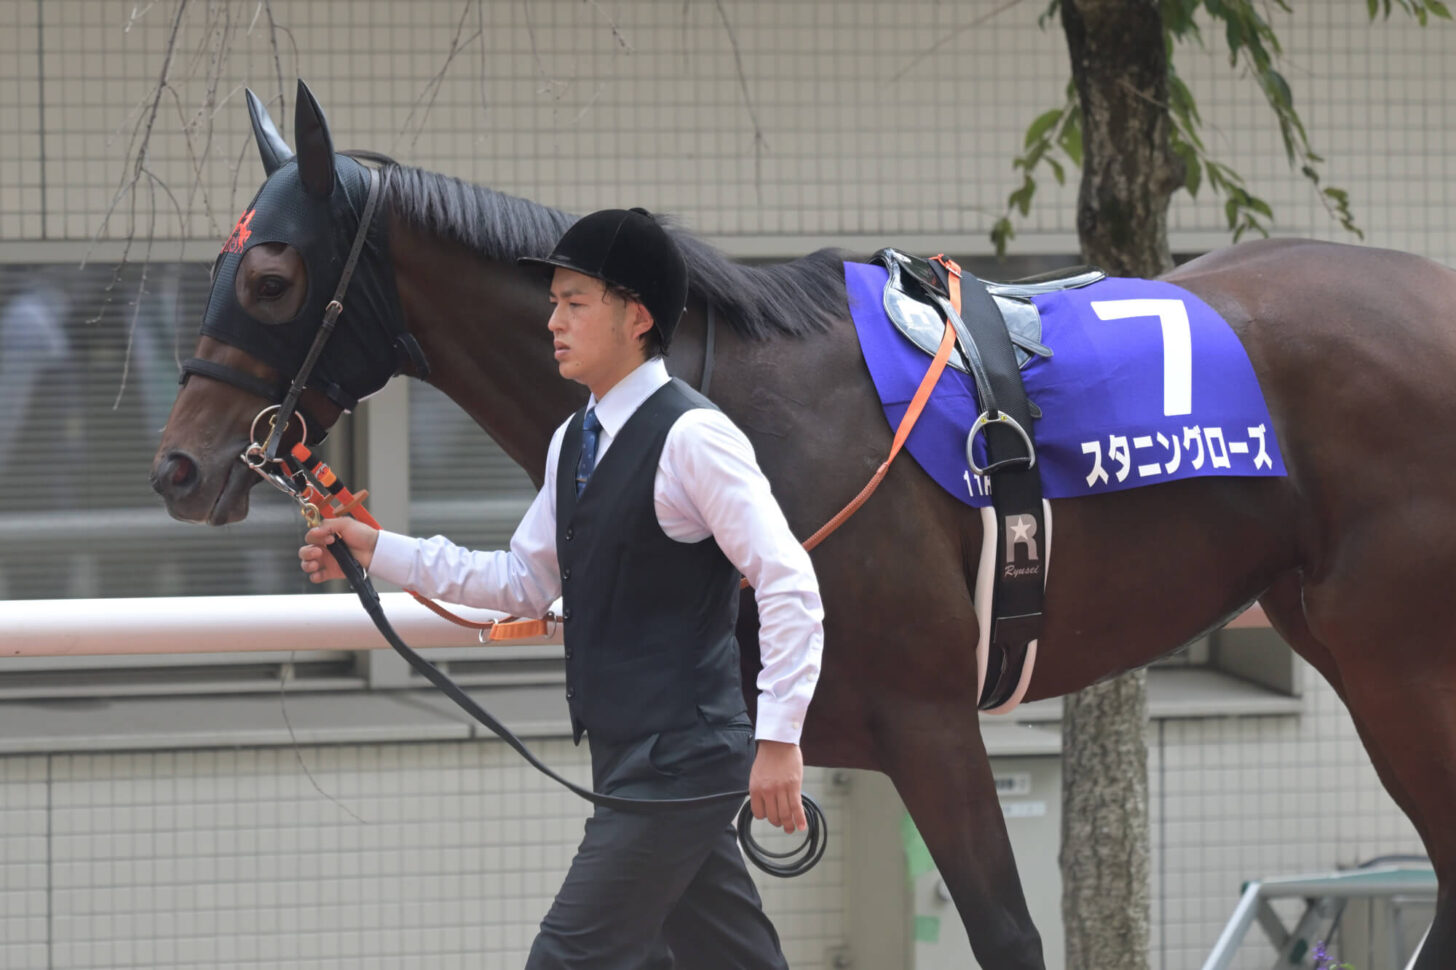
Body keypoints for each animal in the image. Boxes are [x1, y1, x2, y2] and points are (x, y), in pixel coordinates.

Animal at [150, 84, 1456, 967]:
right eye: (219, 269)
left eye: (269, 277)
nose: (178, 465)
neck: (730, 396)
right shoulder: (715, 774)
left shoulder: (931, 722)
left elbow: (1005, 931)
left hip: (1397, 658)